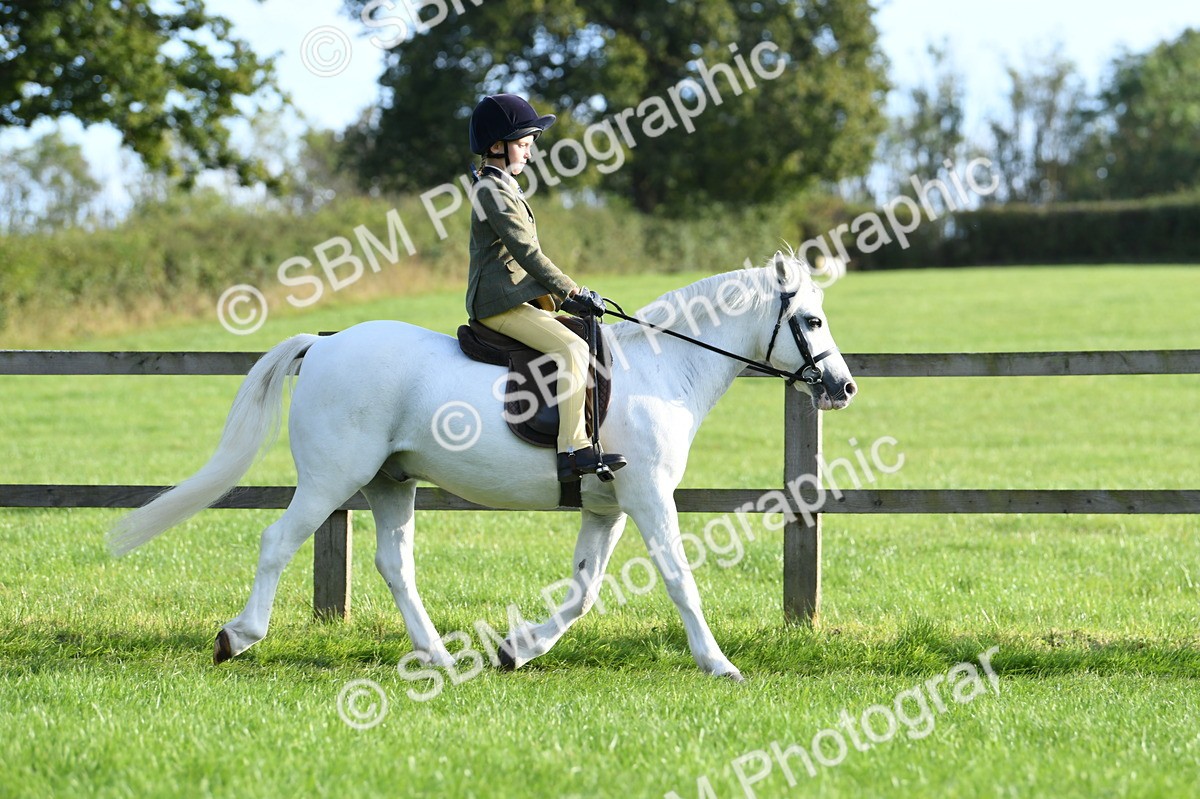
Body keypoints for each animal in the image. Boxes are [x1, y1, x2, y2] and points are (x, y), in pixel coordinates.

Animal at [108, 252, 857, 681]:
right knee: (276, 541)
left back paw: (440, 657)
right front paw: (719, 663)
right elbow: (678, 579)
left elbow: (582, 592)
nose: (843, 387)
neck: (663, 368)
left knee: (395, 564)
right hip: (331, 479)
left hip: (390, 482)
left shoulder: (607, 507)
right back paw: (238, 636)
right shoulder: (648, 497)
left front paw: (516, 650)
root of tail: (323, 344)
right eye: (813, 321)